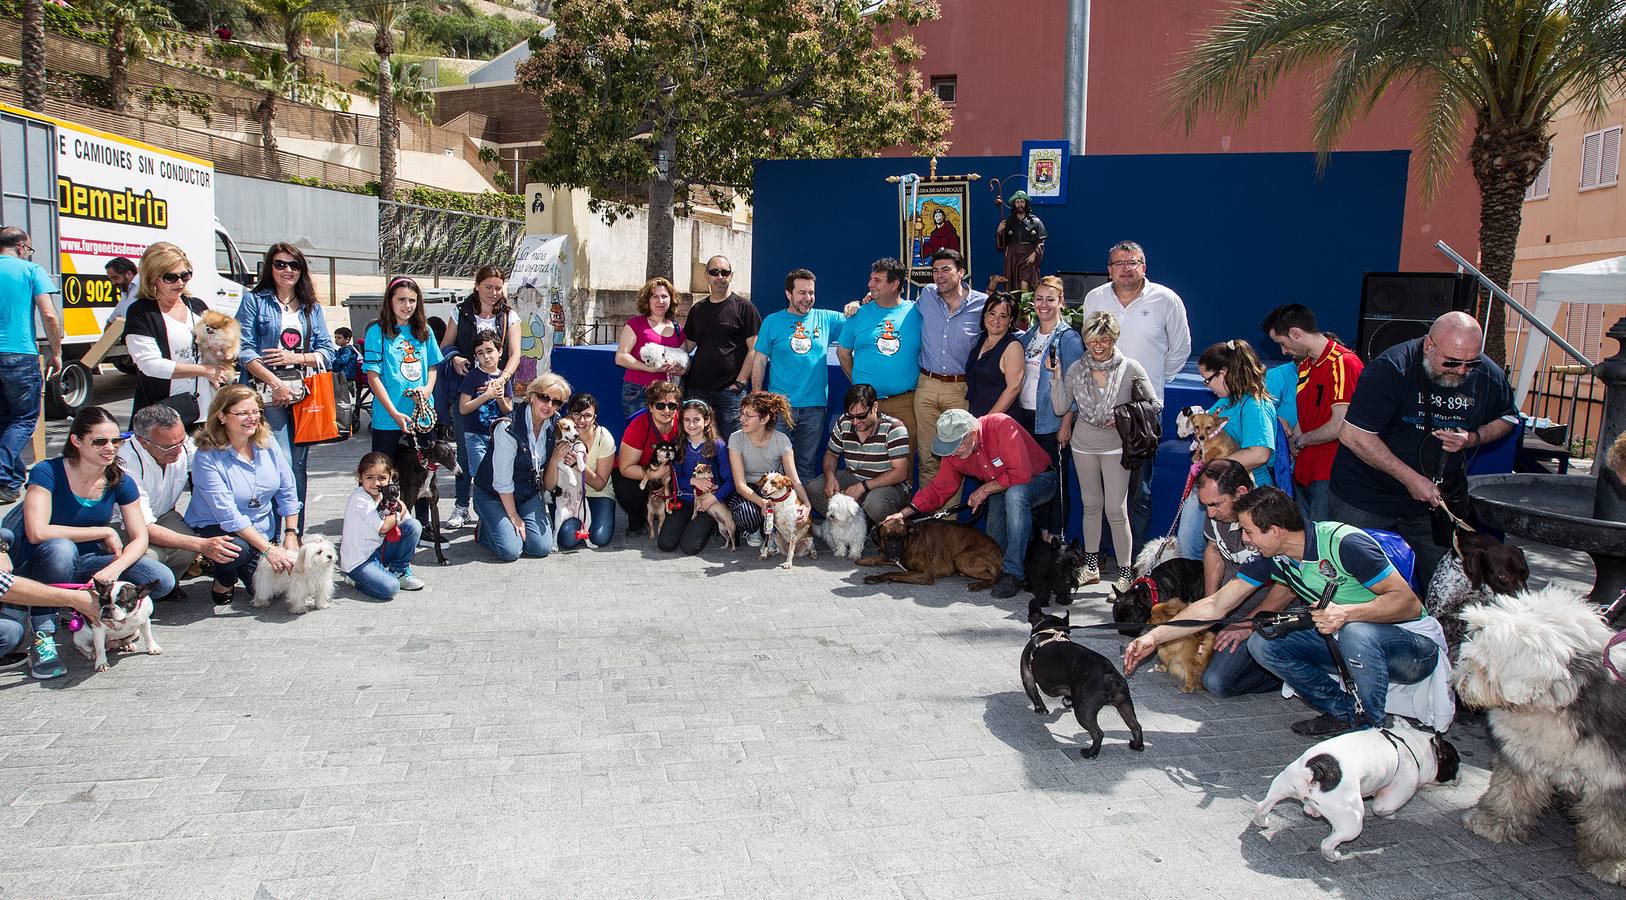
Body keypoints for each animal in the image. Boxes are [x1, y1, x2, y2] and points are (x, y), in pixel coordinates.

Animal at [396, 419, 461, 558]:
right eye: (446, 455)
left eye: (454, 453)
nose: (460, 472)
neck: (425, 467)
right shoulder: (410, 502)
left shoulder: (433, 504)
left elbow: (436, 533)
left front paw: (441, 558)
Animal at [1014, 610, 1144, 757]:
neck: (1050, 630)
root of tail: (1109, 673)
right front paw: (1066, 701)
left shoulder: (1028, 678)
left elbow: (1035, 694)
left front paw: (1040, 709)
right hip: (1124, 704)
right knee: (1136, 726)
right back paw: (1137, 746)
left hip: (1084, 710)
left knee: (1098, 733)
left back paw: (1090, 753)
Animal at [1248, 711, 1469, 857]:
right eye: (1456, 762)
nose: (1462, 775)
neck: (1411, 744)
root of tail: (1315, 770)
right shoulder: (1400, 790)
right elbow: (1383, 807)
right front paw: (1390, 815)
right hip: (1352, 820)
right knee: (1329, 842)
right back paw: (1333, 855)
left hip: (1283, 784)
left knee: (1263, 805)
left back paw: (1264, 821)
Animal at [1456, 581, 1626, 883]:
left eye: (1483, 666)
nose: (1458, 683)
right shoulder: (1522, 753)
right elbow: (1510, 789)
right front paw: (1491, 822)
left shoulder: (1612, 774)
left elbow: (1611, 821)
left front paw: (1611, 862)